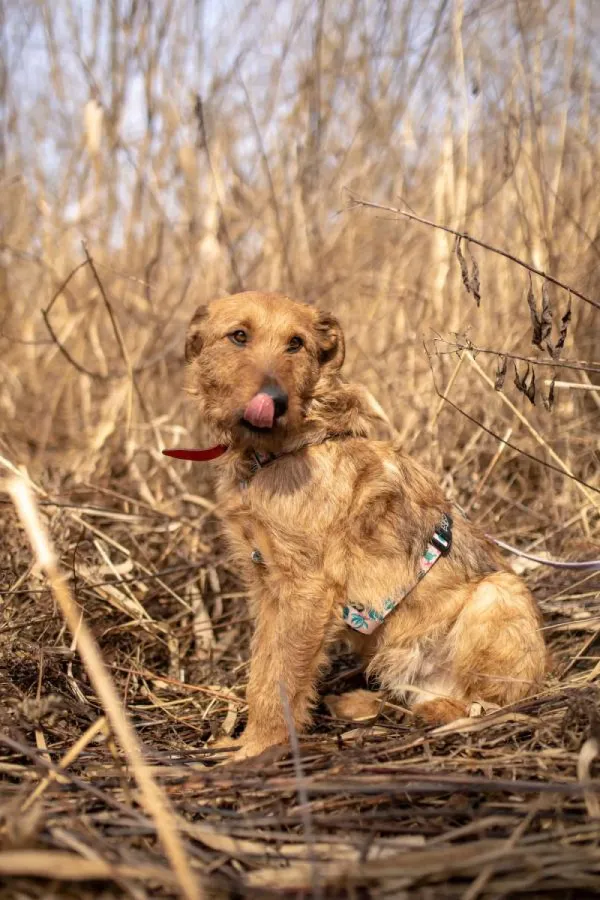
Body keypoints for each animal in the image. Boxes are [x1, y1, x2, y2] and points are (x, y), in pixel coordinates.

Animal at [180, 290, 548, 760]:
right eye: (238, 336)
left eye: (296, 343)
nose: (274, 401)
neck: (277, 452)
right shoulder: (266, 586)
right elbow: (262, 670)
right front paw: (244, 741)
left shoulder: (306, 589)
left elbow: (281, 676)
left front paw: (260, 747)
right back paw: (360, 703)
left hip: (497, 594)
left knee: (487, 703)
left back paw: (441, 711)